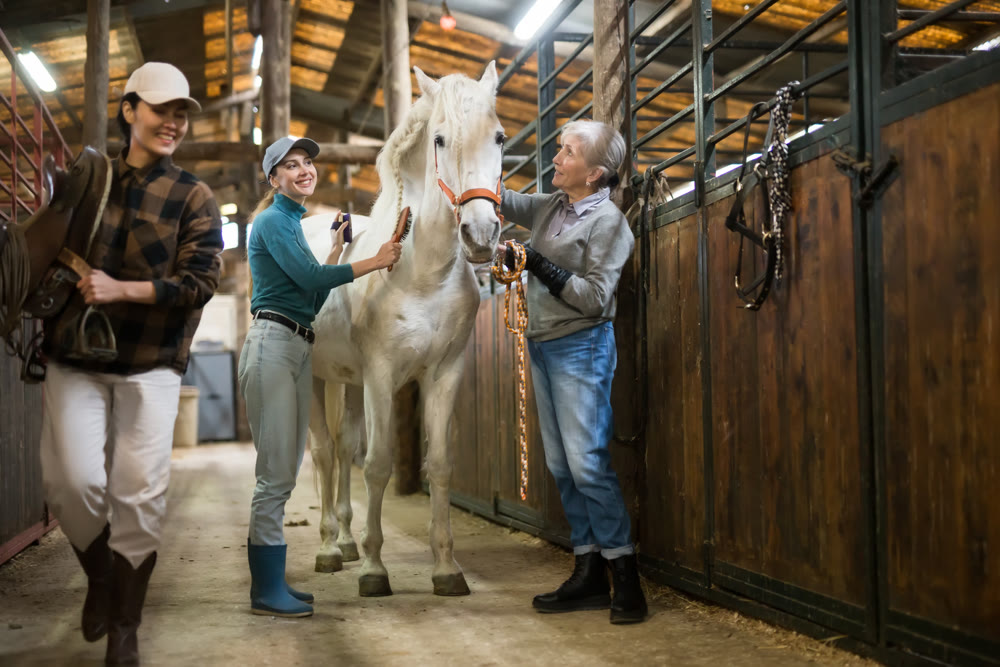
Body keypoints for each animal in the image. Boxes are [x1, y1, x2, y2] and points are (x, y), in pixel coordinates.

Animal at [300, 62, 505, 597]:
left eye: (498, 137)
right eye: (439, 139)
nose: (481, 234)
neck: (421, 272)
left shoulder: (444, 373)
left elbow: (441, 465)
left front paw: (447, 568)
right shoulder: (381, 374)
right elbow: (378, 464)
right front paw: (375, 569)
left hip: (346, 382)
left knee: (343, 447)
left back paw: (345, 540)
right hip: (314, 379)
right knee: (324, 453)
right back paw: (330, 549)